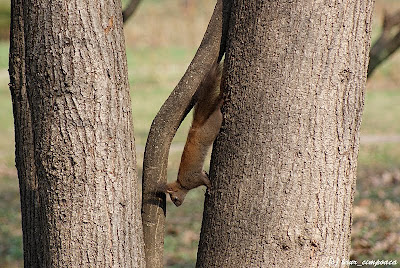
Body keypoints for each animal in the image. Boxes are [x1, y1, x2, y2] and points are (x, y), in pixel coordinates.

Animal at [161, 61, 223, 206]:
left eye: (174, 198)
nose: (177, 205)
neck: (182, 184)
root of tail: (196, 126)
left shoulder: (194, 179)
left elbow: (204, 181)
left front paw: (210, 188)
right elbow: (204, 174)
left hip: (214, 125)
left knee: (217, 111)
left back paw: (220, 102)